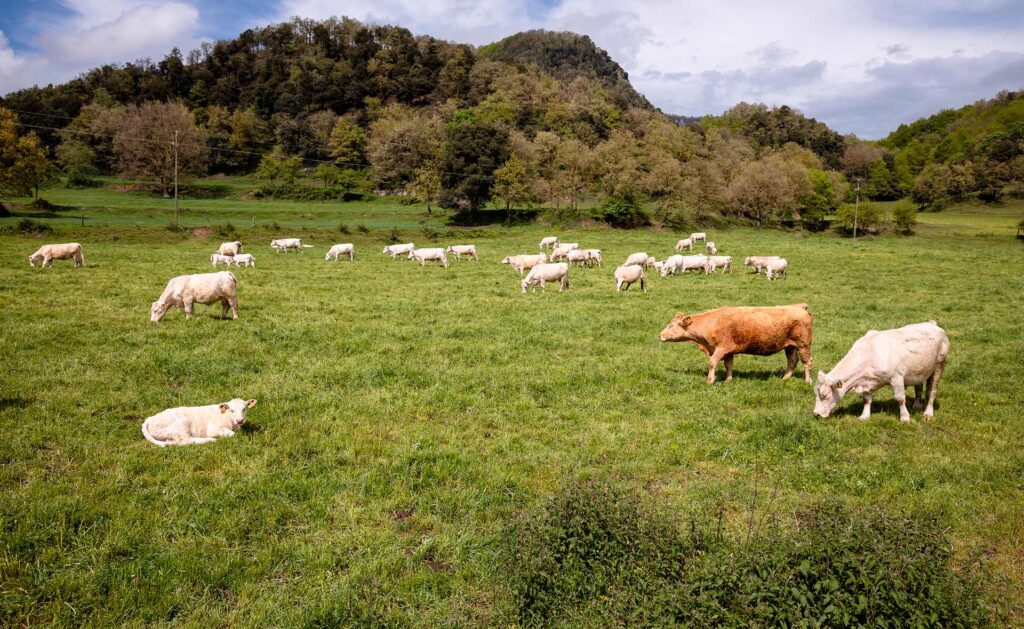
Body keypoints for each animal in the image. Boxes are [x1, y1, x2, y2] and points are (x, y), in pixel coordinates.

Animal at [655, 305, 815, 387]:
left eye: (671, 326)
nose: (660, 335)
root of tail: (800, 307)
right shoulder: (729, 351)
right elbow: (728, 365)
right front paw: (728, 380)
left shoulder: (721, 348)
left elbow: (712, 362)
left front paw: (710, 380)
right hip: (790, 346)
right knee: (792, 361)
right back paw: (785, 378)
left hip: (803, 345)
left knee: (807, 362)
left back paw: (808, 381)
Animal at [815, 323, 950, 422]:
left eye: (825, 395)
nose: (816, 414)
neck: (869, 353)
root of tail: (932, 324)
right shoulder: (866, 381)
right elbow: (867, 399)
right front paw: (864, 416)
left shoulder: (896, 378)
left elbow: (900, 399)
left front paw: (905, 417)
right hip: (919, 370)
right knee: (918, 388)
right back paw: (917, 405)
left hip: (939, 365)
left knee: (932, 391)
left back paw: (928, 413)